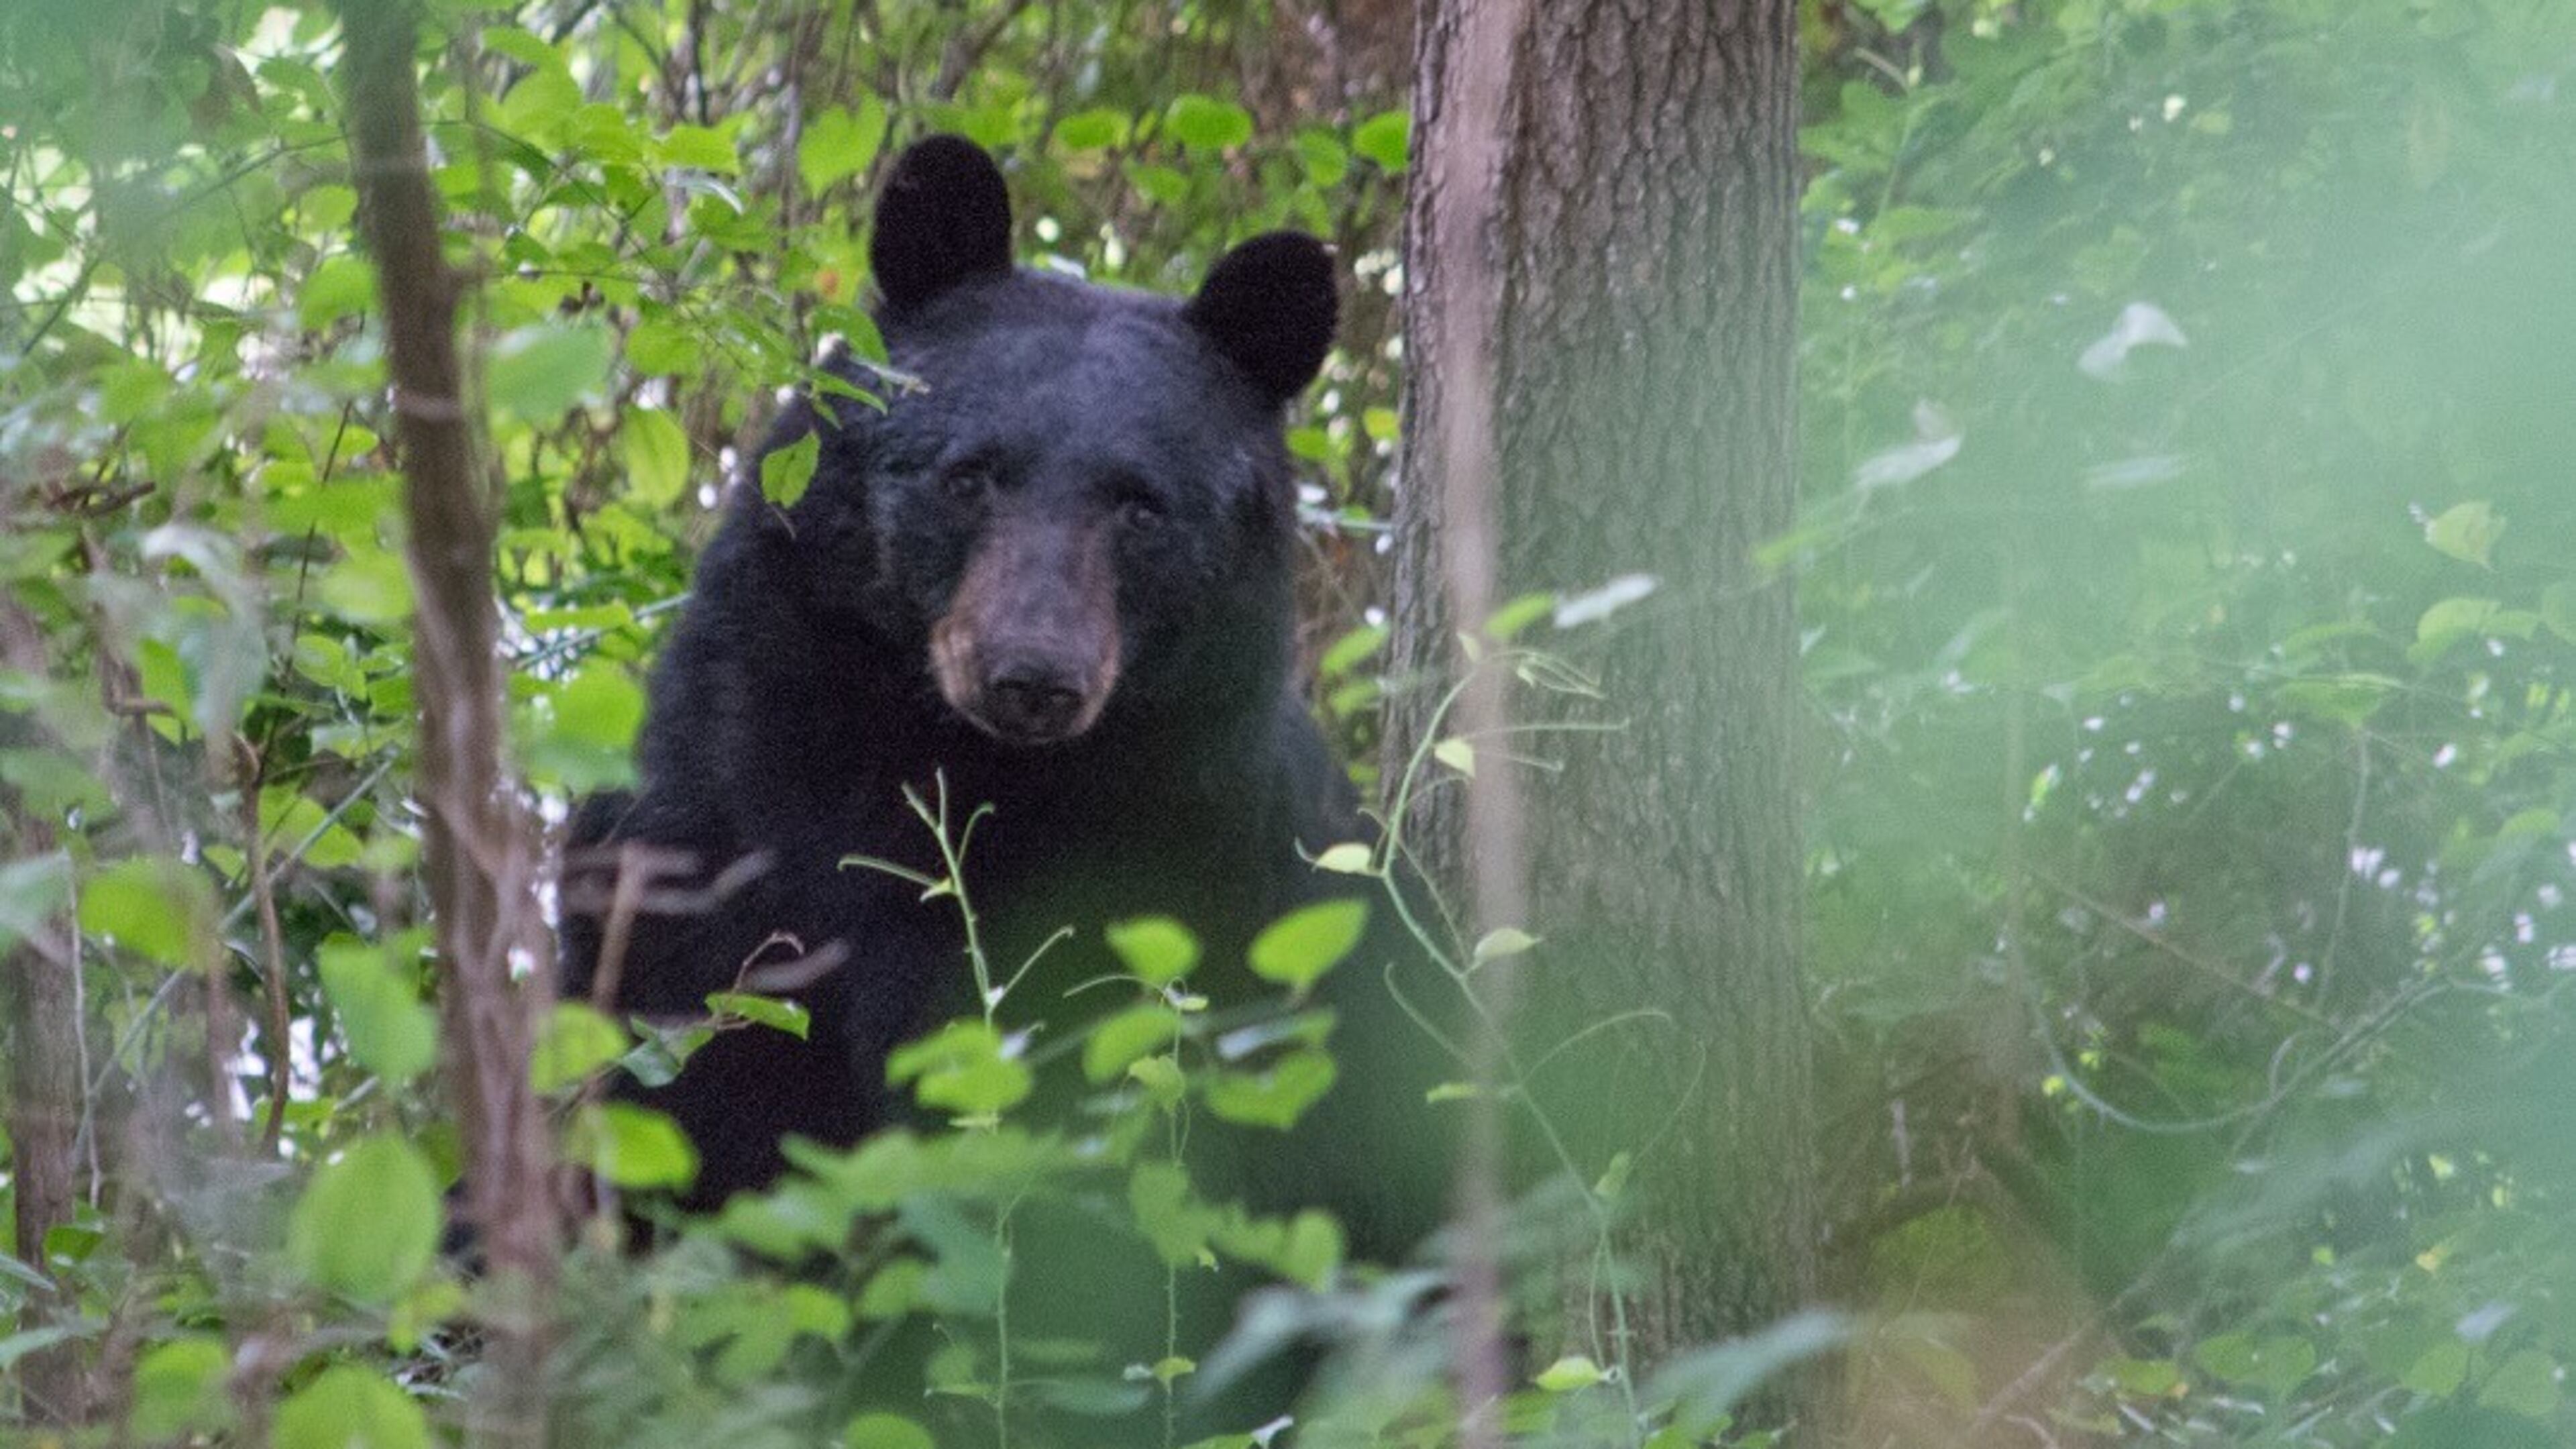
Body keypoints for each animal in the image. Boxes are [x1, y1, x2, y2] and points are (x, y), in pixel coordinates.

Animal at [558, 136, 1449, 1264]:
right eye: (970, 474)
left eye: (1141, 507)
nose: (1032, 675)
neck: (961, 765)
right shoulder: (713, 824)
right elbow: (686, 1087)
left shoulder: (1213, 872)